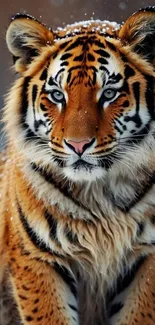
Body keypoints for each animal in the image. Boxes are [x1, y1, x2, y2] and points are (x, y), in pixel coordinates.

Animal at [0, 6, 155, 324]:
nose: (78, 145)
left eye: (109, 93)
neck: (99, 194)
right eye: (58, 95)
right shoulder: (37, 256)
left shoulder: (148, 255)